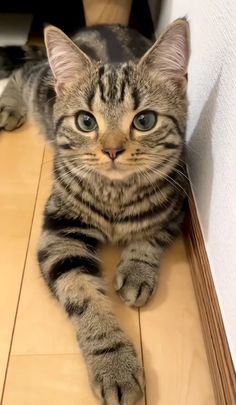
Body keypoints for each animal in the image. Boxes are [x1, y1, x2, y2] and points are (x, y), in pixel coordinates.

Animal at [0, 18, 190, 404]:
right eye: (86, 122)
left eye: (145, 120)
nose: (113, 150)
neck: (116, 195)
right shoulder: (60, 233)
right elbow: (84, 296)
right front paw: (114, 364)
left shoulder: (177, 206)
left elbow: (150, 236)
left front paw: (136, 271)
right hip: (40, 89)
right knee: (23, 72)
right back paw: (9, 107)